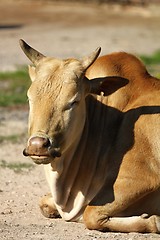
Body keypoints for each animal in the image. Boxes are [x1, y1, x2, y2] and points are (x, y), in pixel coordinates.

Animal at [20, 39, 160, 232]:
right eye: (30, 98)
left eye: (74, 101)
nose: (37, 145)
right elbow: (45, 203)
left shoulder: (139, 179)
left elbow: (91, 215)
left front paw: (154, 220)